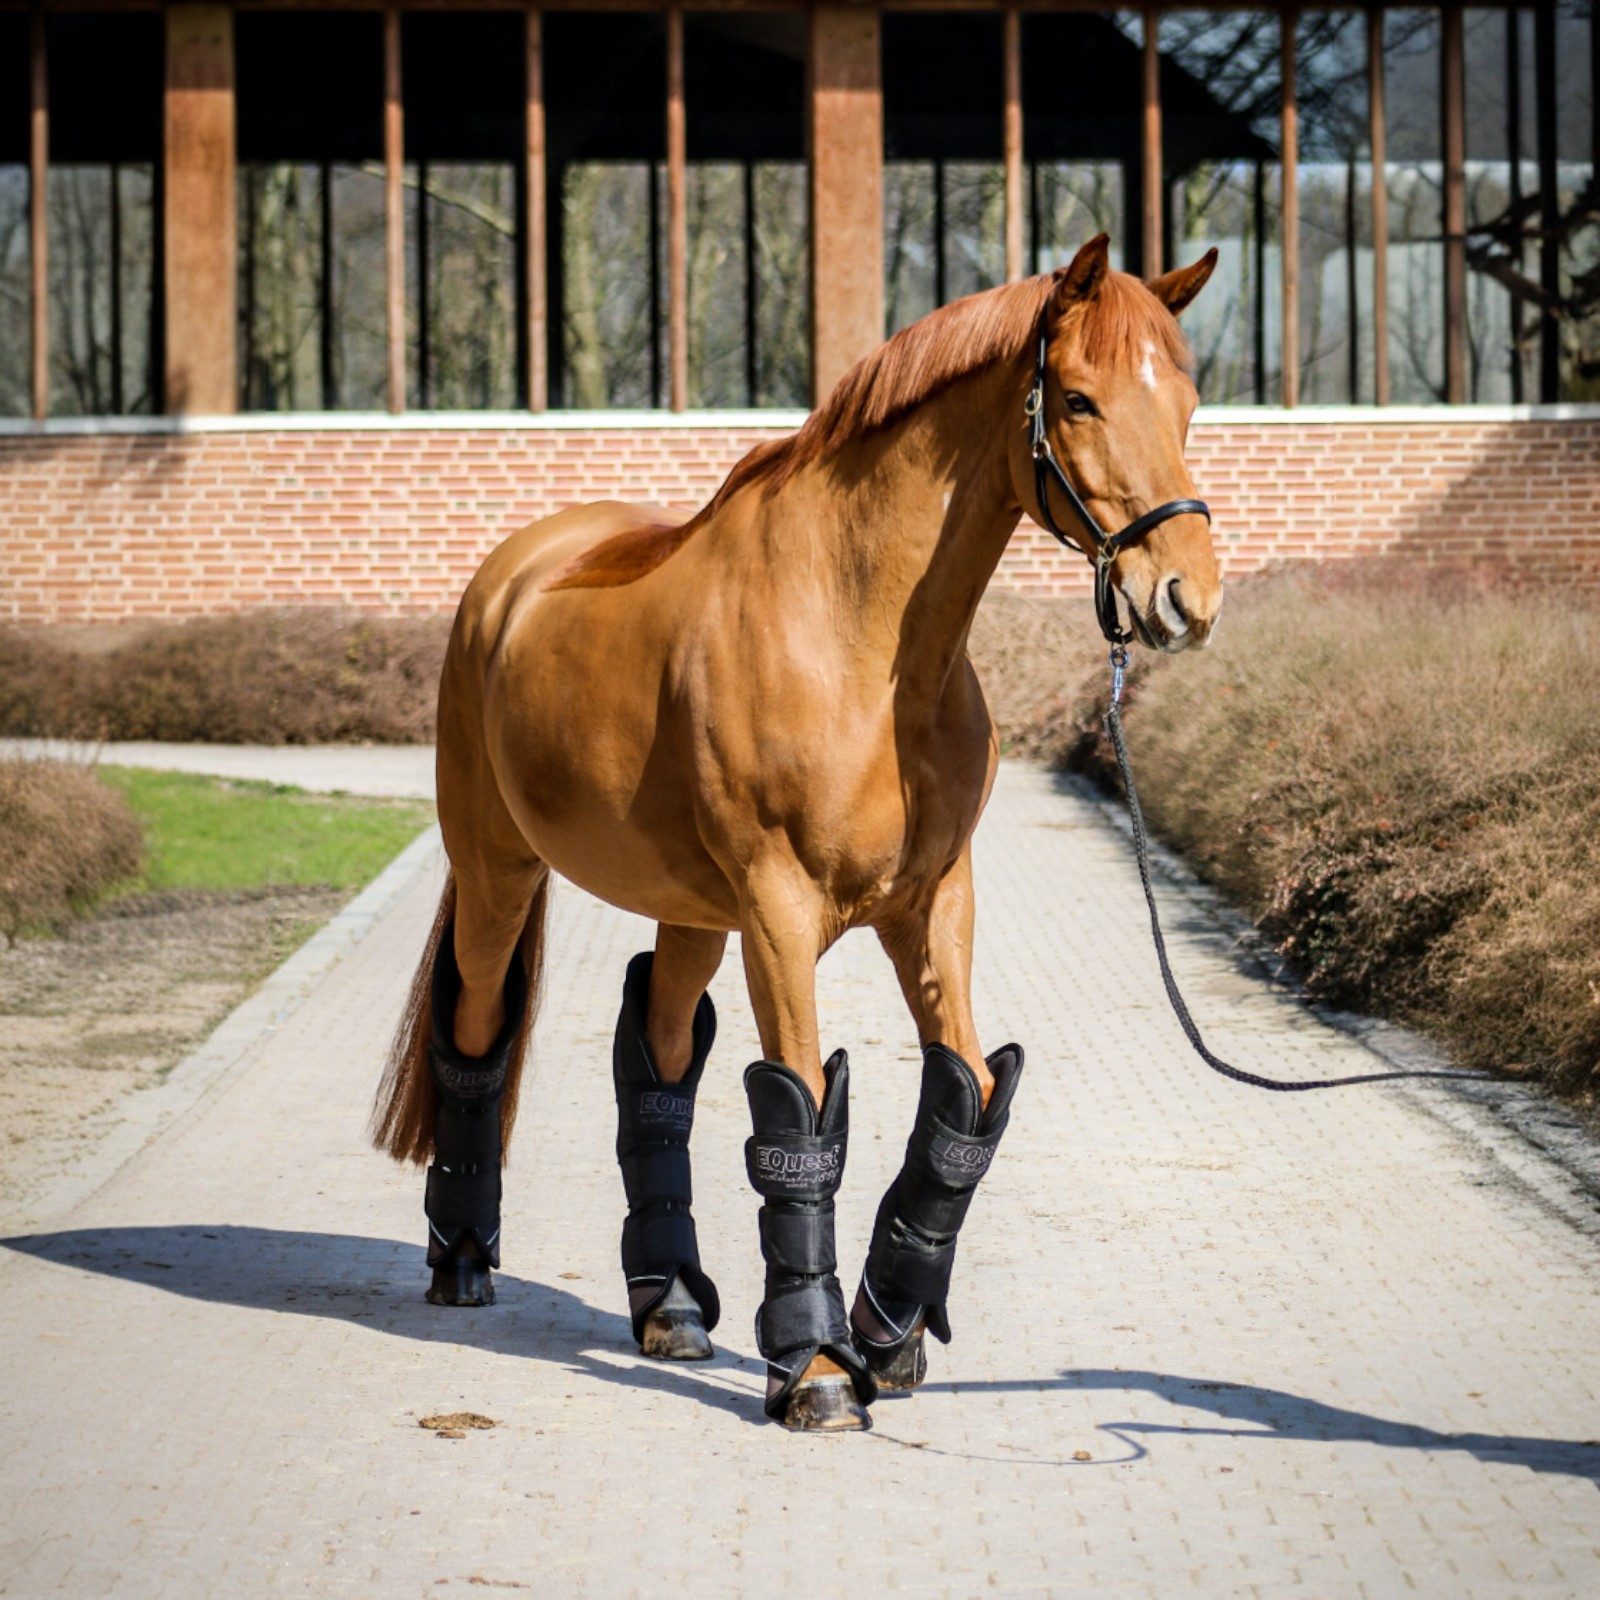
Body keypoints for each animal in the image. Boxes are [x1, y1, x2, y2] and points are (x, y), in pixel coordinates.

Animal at [372, 233, 1223, 1432]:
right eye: (1081, 399)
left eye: (1187, 402)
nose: (1186, 598)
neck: (858, 640)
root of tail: (510, 578)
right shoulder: (780, 910)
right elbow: (801, 1122)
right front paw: (818, 1370)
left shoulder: (933, 901)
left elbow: (964, 1099)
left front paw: (887, 1331)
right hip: (499, 869)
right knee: (477, 1024)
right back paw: (460, 1259)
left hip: (688, 909)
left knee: (660, 1057)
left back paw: (671, 1306)